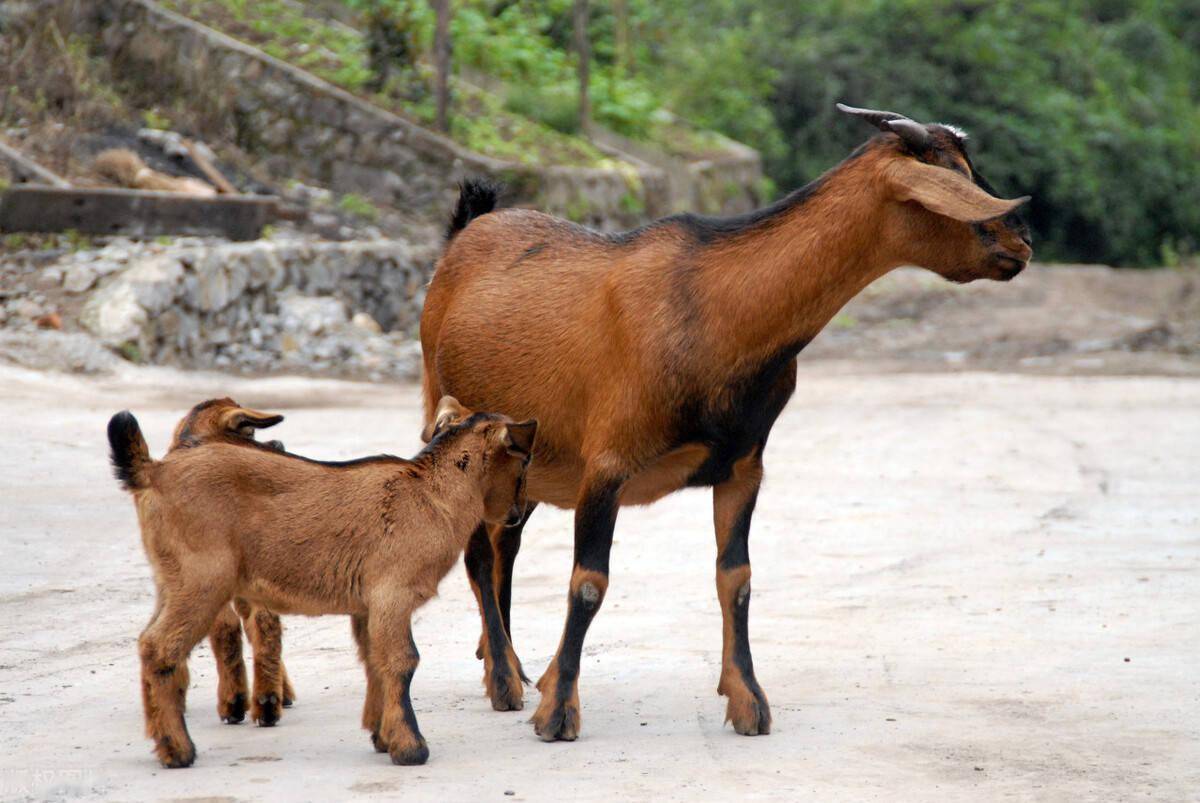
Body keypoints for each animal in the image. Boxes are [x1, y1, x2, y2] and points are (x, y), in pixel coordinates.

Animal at [420, 103, 1032, 744]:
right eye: (954, 179)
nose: (1024, 240)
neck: (713, 309)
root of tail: (465, 234)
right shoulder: (606, 464)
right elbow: (589, 582)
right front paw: (558, 709)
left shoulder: (742, 465)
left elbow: (736, 579)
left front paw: (748, 700)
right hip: (451, 415)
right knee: (480, 552)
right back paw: (506, 682)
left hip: (531, 465)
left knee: (504, 544)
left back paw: (507, 664)